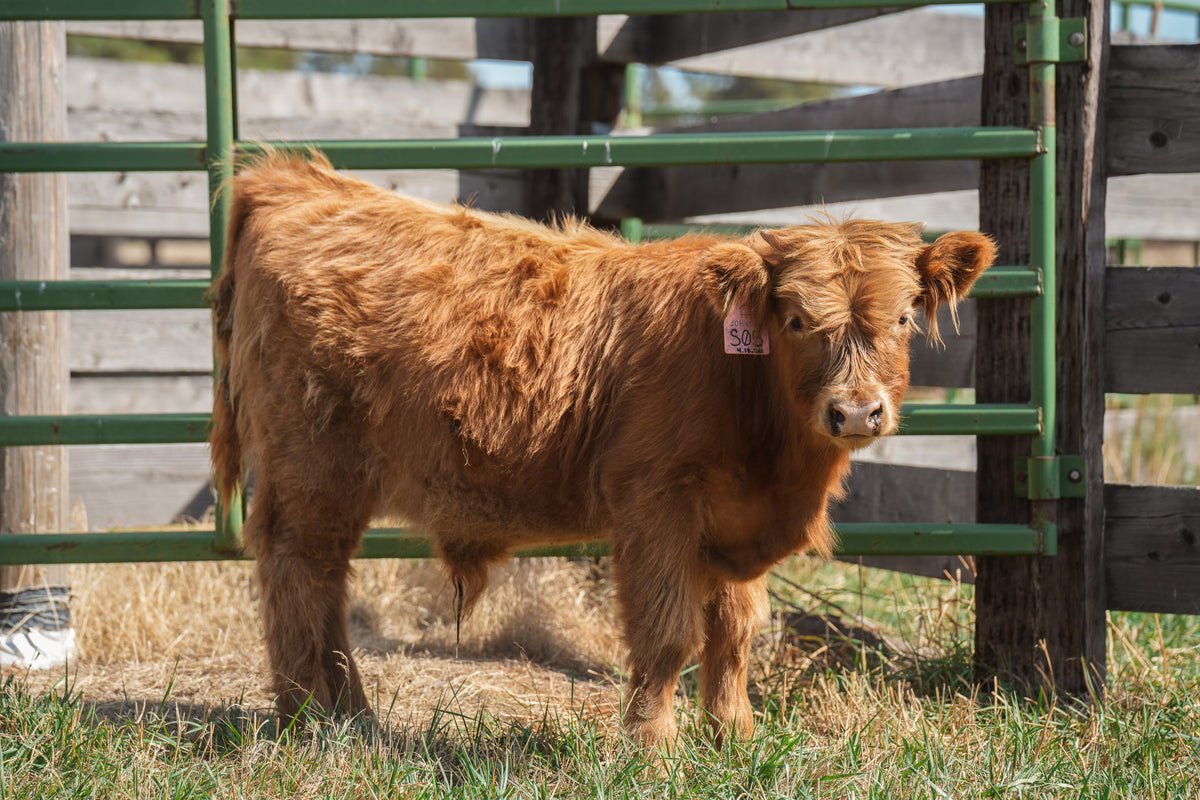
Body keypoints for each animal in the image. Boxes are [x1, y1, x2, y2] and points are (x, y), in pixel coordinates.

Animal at [209, 149, 995, 748]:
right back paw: (305, 718)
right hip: (312, 467)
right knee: (297, 568)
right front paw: (653, 749)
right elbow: (668, 633)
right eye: (798, 319)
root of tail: (297, 179)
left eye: (903, 316)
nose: (856, 411)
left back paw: (351, 716)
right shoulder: (655, 501)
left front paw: (734, 738)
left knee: (327, 580)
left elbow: (736, 632)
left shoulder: (734, 523)